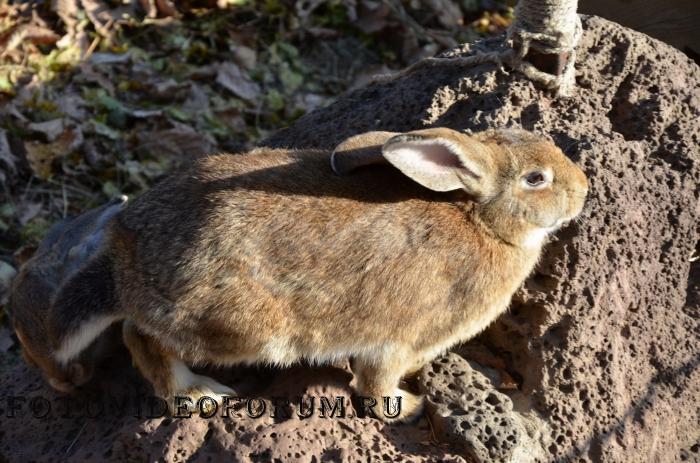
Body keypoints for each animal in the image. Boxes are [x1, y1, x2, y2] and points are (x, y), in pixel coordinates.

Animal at [49, 126, 588, 420]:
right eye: (536, 179)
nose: (584, 189)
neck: (482, 221)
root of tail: (125, 260)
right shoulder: (399, 338)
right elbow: (375, 385)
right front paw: (408, 405)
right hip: (240, 327)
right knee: (139, 337)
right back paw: (198, 394)